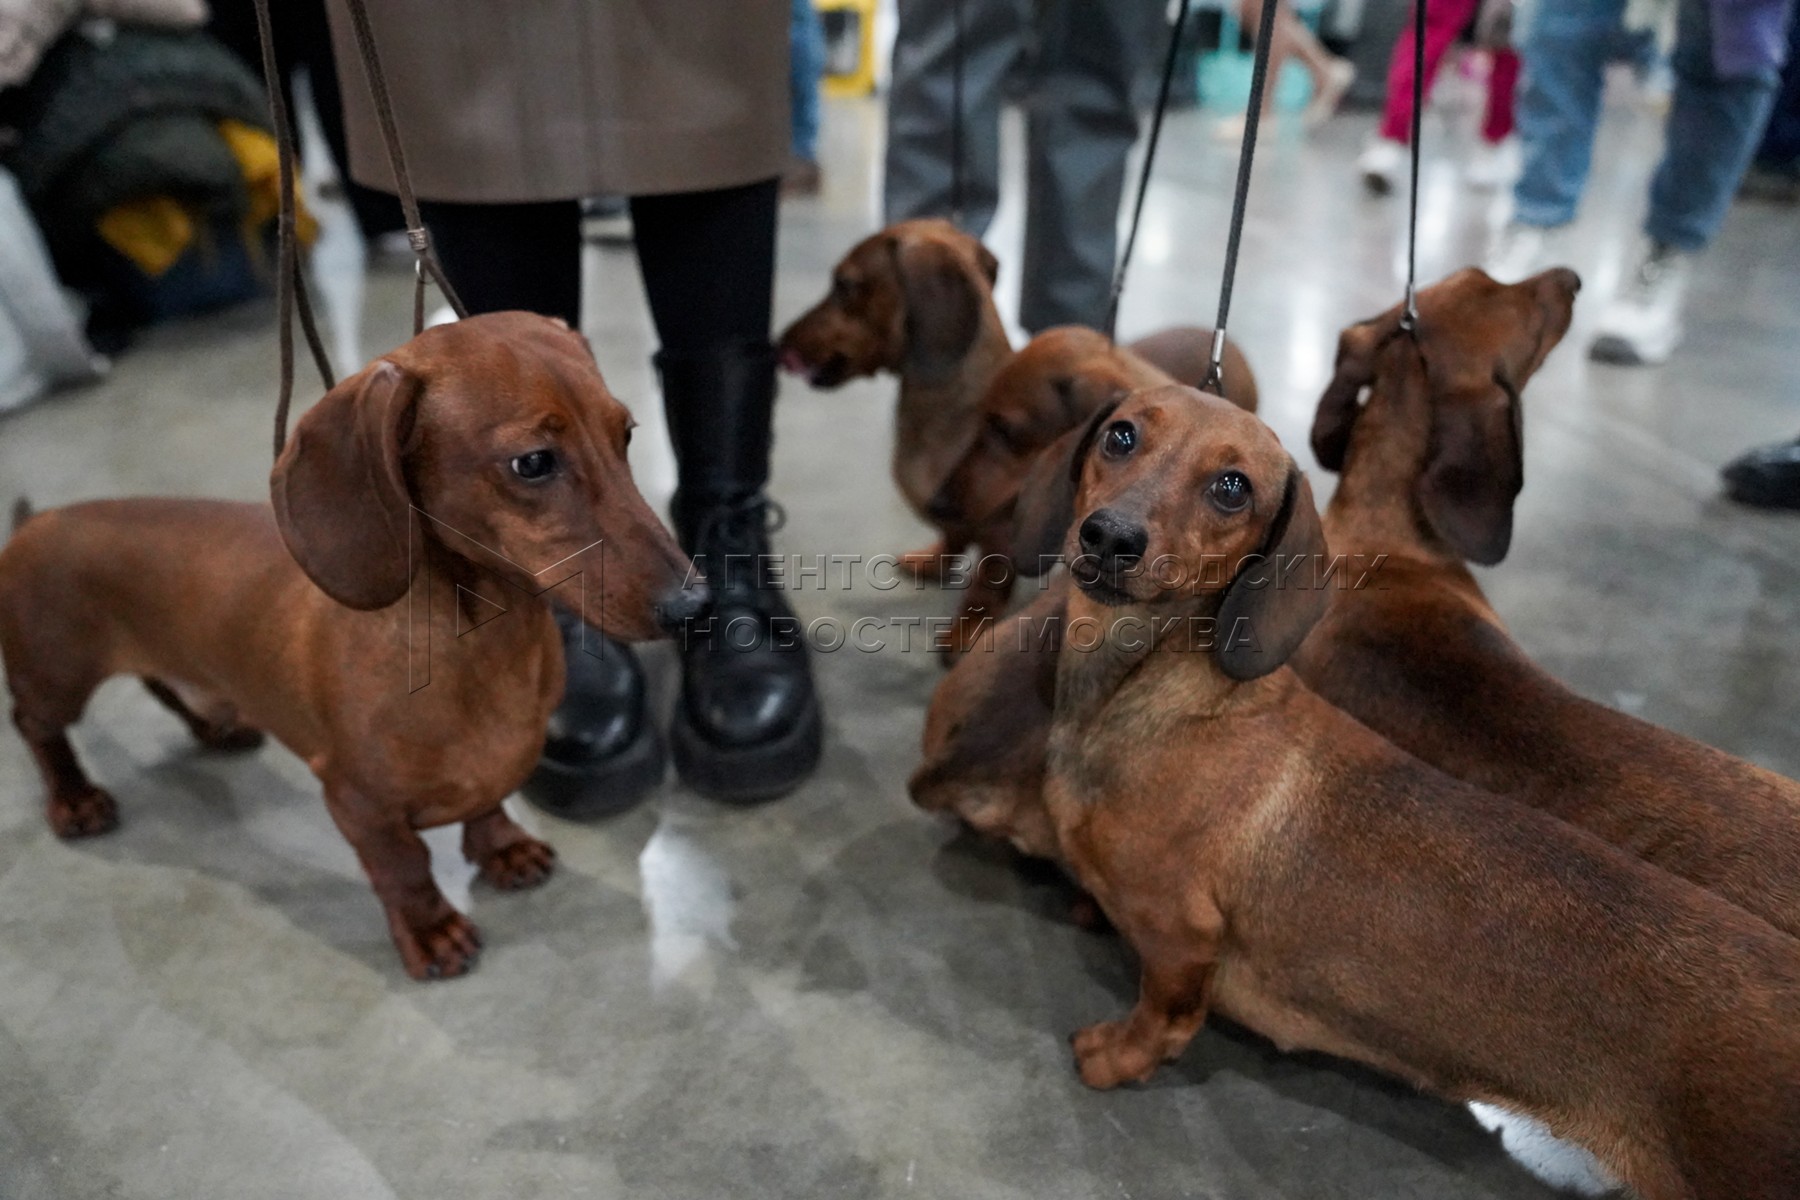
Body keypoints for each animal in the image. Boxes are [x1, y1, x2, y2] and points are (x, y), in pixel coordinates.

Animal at [0, 313, 707, 980]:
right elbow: (405, 867)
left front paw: (504, 846)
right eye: (533, 462)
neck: (480, 646)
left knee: (167, 689)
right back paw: (74, 798)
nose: (695, 606)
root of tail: (35, 522)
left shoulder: (490, 767)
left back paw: (216, 730)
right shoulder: (356, 803)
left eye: (626, 435)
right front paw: (431, 931)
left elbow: (487, 804)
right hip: (57, 679)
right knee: (35, 726)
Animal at [777, 219, 1256, 591]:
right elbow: (953, 540)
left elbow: (985, 590)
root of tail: (1229, 348)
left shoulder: (1003, 542)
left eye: (845, 285)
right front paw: (933, 562)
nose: (779, 344)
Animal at [1007, 383, 1800, 1200]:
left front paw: (1114, 1055)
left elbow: (1161, 1019)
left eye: (1232, 487)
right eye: (1121, 436)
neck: (1160, 695)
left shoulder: (1182, 941)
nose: (1109, 537)